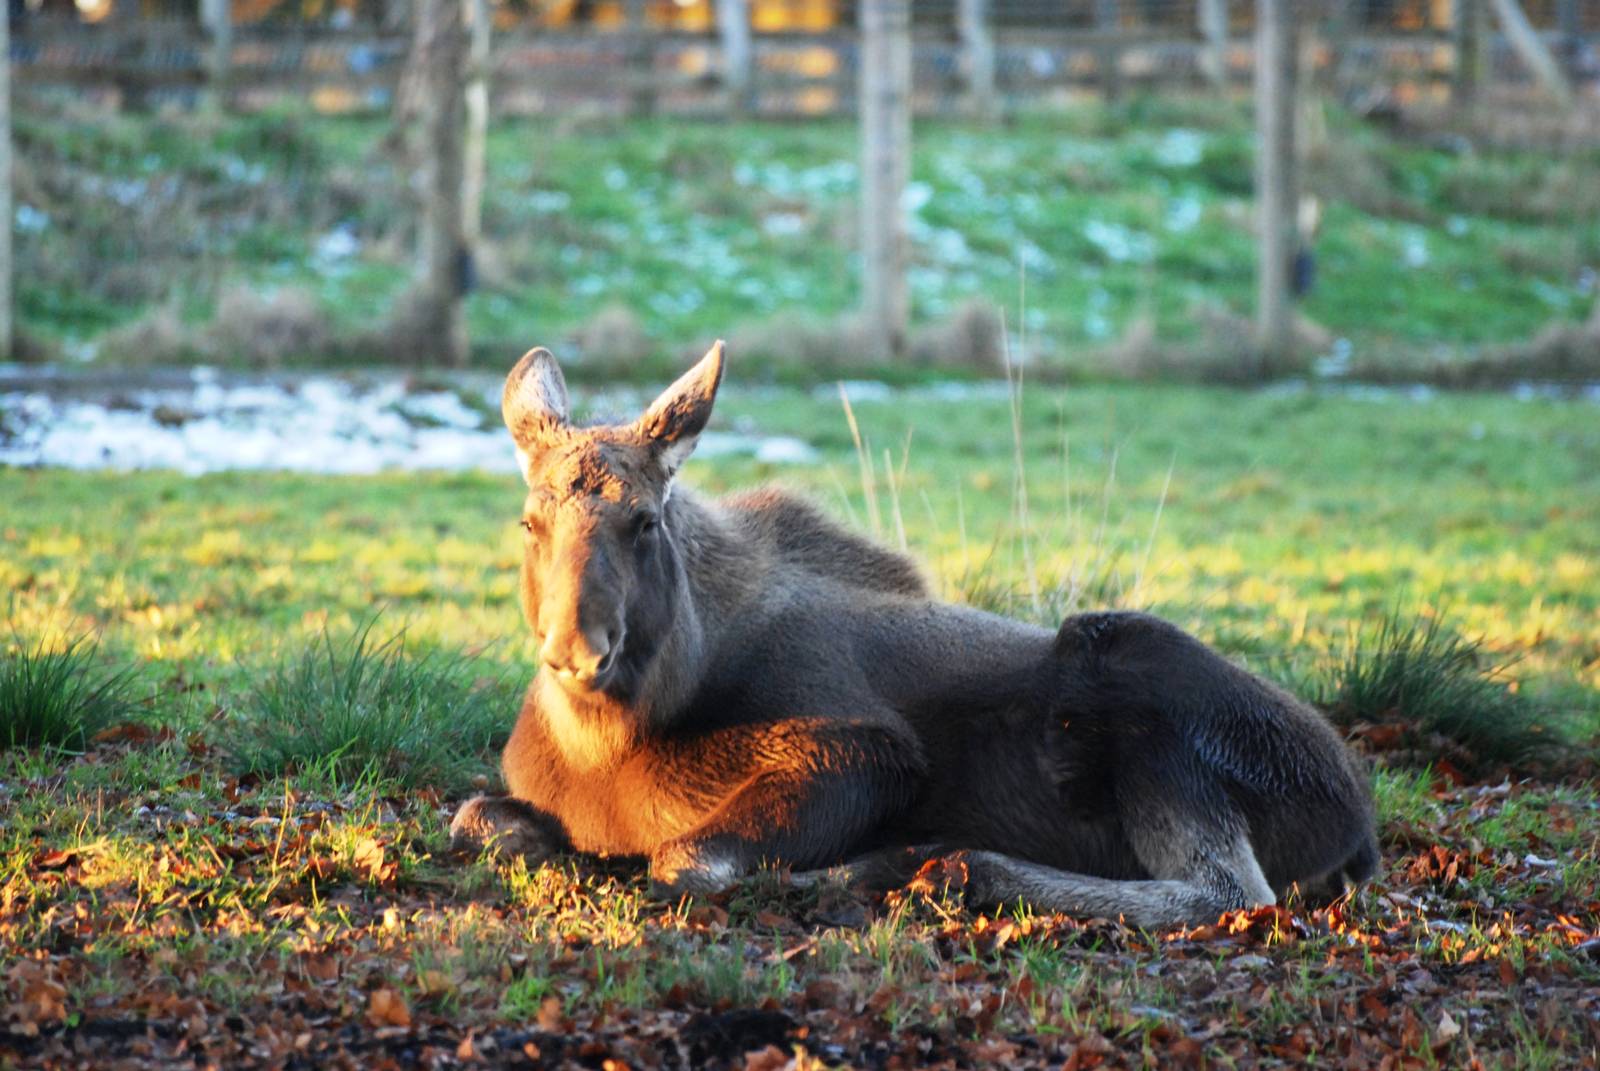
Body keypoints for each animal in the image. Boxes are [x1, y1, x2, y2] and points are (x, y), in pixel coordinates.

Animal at [450, 341, 1379, 928]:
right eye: (530, 520)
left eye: (644, 519)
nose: (577, 648)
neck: (611, 738)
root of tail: (1358, 822)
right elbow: (472, 815)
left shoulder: (870, 749)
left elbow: (685, 855)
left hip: (1136, 672)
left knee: (1232, 893)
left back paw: (941, 866)